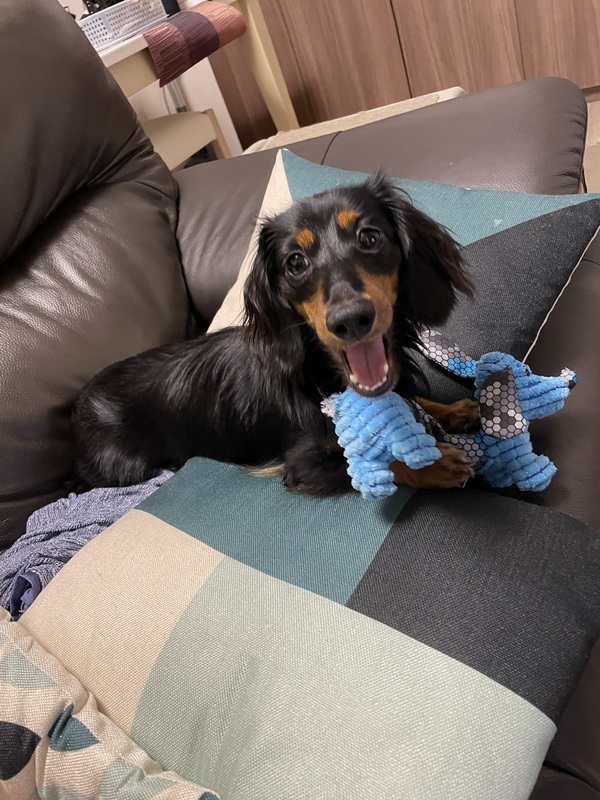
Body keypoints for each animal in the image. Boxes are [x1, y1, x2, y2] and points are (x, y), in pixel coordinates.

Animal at [72, 172, 477, 495]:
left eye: (370, 238)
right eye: (295, 262)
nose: (351, 320)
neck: (318, 372)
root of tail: (78, 407)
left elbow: (413, 398)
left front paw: (453, 409)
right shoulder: (304, 464)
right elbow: (372, 464)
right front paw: (436, 465)